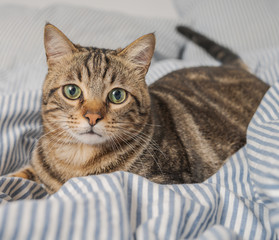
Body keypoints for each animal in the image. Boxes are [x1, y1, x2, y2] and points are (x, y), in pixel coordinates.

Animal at [8, 23, 270, 193]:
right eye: (72, 91)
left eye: (117, 95)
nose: (92, 117)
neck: (76, 161)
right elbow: (17, 176)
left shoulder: (171, 182)